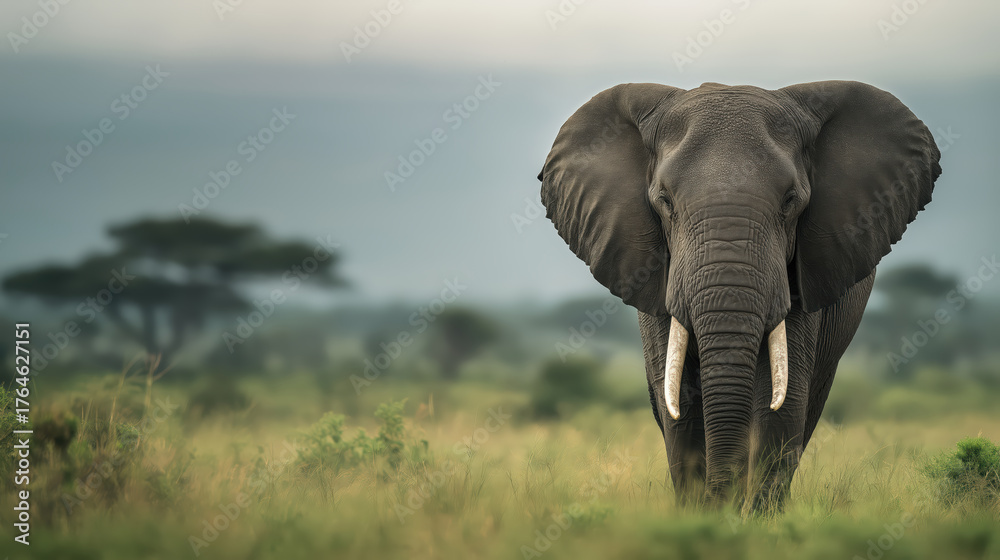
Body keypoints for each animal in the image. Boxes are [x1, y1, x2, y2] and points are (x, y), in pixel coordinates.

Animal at [537, 81, 942, 511]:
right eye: (664, 201)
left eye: (790, 201)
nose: (725, 498)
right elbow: (679, 404)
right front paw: (702, 516)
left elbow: (781, 403)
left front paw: (752, 519)